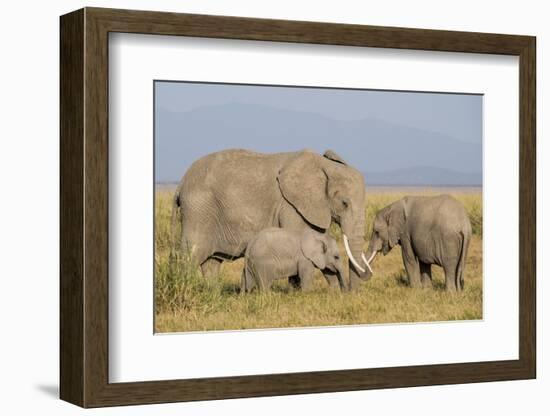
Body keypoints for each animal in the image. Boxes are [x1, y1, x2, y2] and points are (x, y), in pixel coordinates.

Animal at [170, 150, 374, 290]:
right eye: (344, 203)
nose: (349, 293)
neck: (323, 166)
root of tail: (181, 183)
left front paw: (332, 293)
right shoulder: (291, 207)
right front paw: (296, 292)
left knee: (211, 262)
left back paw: (214, 293)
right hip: (198, 211)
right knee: (191, 255)